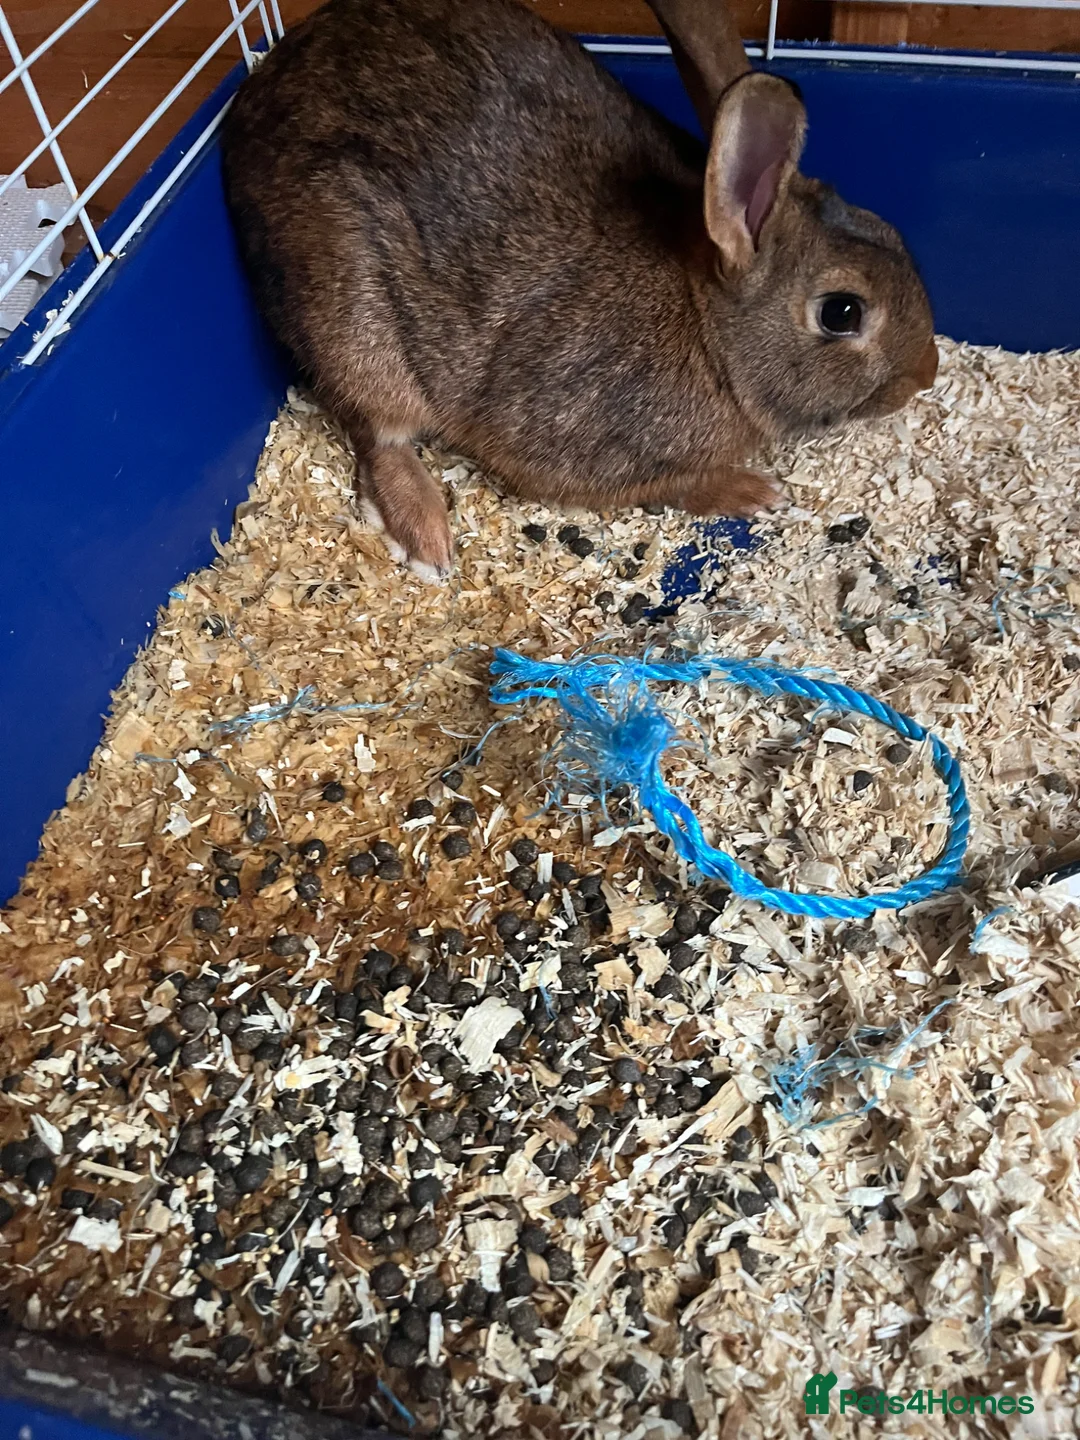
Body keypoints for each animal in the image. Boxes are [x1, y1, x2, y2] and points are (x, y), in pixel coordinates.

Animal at [222, 0, 938, 582]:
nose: (925, 375)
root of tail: (250, 106)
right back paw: (426, 535)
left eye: (890, 232)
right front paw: (749, 492)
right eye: (842, 312)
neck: (710, 330)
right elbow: (669, 484)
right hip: (355, 319)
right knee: (380, 434)